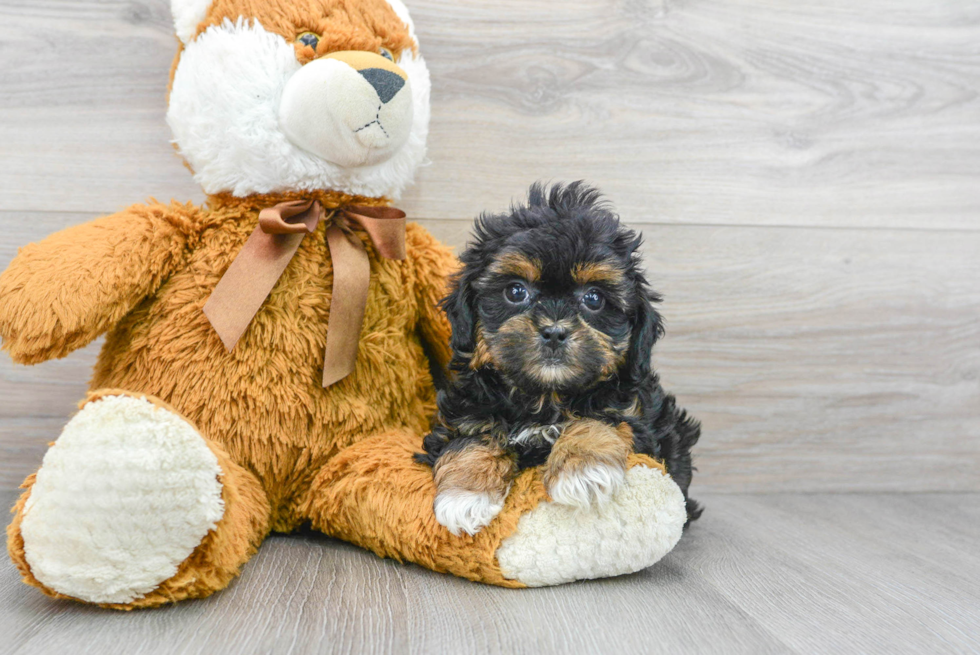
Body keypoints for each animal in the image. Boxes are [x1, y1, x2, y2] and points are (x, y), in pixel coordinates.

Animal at [418, 182, 700, 536]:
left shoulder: (631, 412)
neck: (545, 396)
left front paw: (583, 471)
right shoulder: (466, 410)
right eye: (515, 291)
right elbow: (468, 439)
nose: (553, 332)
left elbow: (597, 419)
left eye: (593, 298)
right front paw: (464, 495)